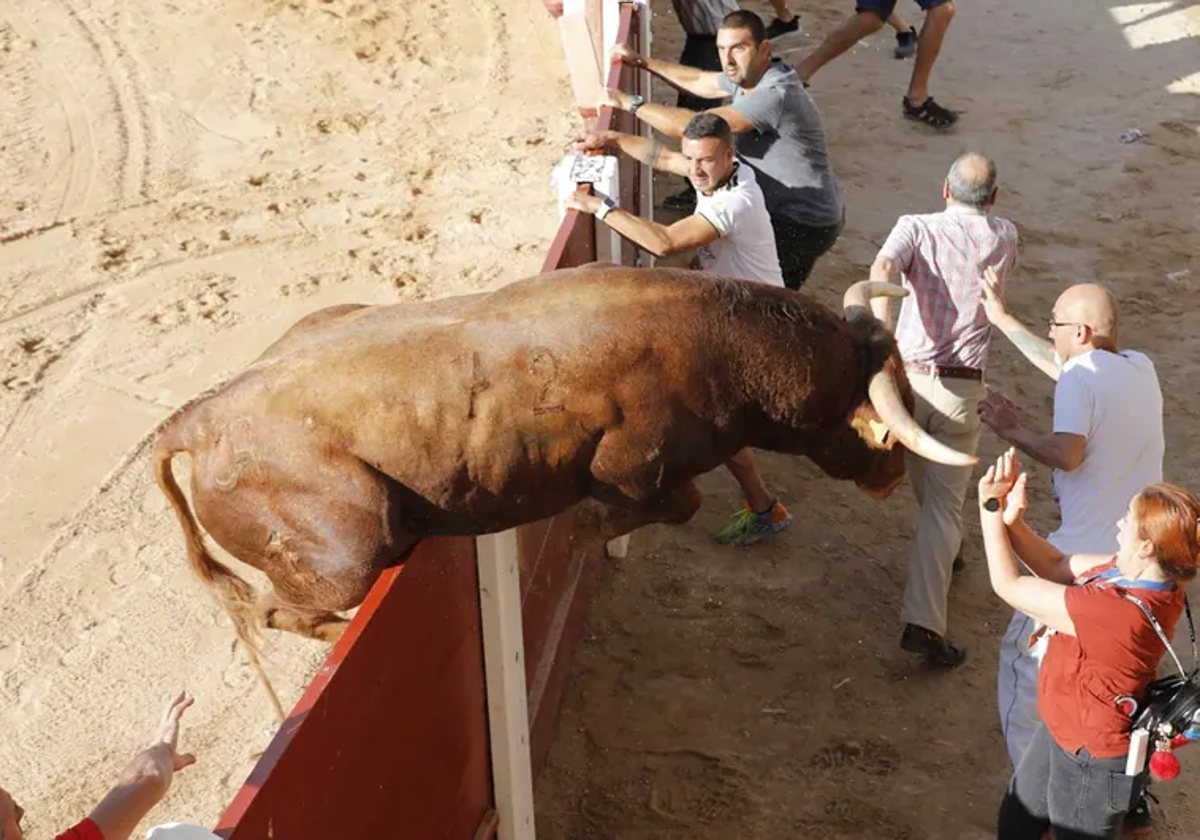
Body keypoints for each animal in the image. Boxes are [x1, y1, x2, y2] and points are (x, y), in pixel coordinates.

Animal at [152, 262, 974, 715]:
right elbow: (677, 502)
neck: (722, 345)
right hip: (351, 547)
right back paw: (335, 637)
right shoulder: (633, 465)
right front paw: (584, 532)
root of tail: (199, 416)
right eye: (882, 426)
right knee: (276, 606)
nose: (891, 476)